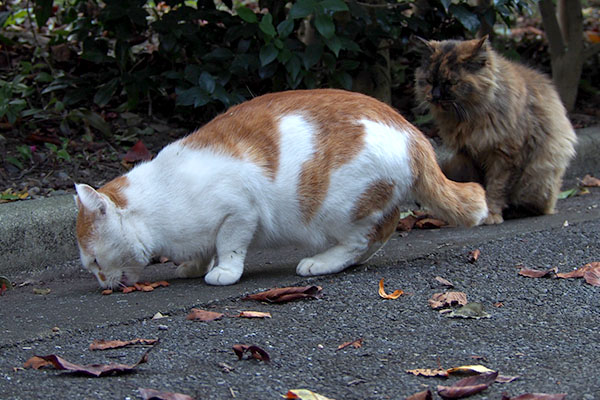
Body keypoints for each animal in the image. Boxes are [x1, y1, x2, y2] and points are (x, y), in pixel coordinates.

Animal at [75, 89, 488, 288]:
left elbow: (228, 246)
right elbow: (204, 248)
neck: (158, 201)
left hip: (341, 206)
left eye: (93, 261)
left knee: (364, 238)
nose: (100, 283)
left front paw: (223, 271)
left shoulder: (240, 211)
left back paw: (321, 262)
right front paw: (193, 265)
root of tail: (414, 134)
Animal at [412, 36, 576, 225]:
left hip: (537, 179)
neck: (470, 119)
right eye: (429, 81)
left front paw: (491, 214)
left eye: (451, 82)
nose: (435, 96)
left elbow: (496, 188)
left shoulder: (506, 156)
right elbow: (479, 185)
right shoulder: (468, 155)